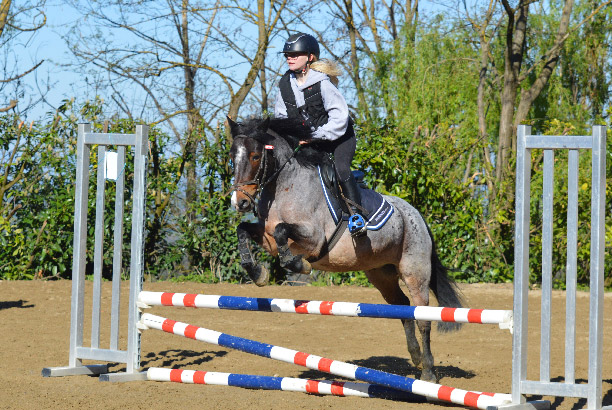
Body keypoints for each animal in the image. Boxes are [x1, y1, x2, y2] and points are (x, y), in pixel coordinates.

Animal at [227, 114, 462, 382]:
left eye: (256, 156)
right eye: (232, 156)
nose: (240, 202)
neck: (284, 187)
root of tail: (417, 215)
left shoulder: (314, 239)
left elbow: (282, 231)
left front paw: (299, 265)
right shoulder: (267, 240)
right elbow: (244, 231)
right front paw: (258, 273)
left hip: (415, 271)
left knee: (423, 316)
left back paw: (429, 372)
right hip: (381, 274)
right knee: (402, 307)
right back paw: (414, 356)